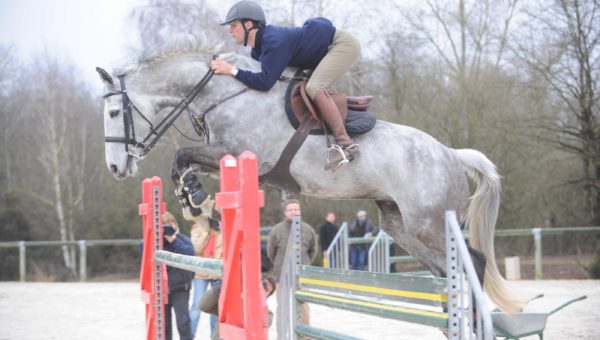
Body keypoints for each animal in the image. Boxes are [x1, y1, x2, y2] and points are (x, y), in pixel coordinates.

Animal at [97, 37, 520, 314]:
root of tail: (451, 154)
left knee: (475, 260)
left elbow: (182, 155)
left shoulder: (245, 158)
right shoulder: (223, 158)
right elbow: (182, 163)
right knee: (443, 269)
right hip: (398, 223)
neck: (225, 93)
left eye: (115, 113)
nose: (117, 167)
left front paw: (198, 202)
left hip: (428, 221)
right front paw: (196, 203)